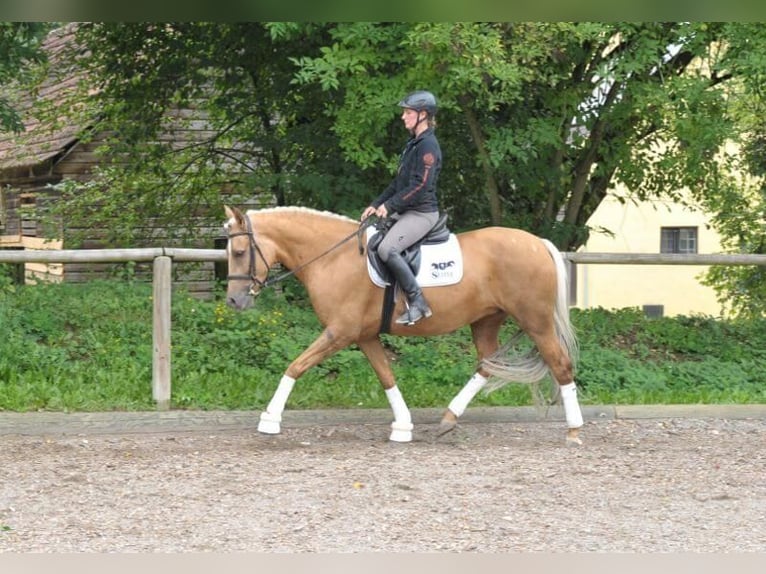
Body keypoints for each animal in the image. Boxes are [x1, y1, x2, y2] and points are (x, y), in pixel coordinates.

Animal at [225, 206, 584, 446]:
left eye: (240, 252)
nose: (233, 301)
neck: (333, 258)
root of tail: (538, 243)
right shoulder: (364, 336)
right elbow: (386, 376)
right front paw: (403, 426)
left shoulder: (340, 332)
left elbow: (295, 366)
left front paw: (270, 420)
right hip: (486, 320)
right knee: (487, 364)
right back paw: (448, 419)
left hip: (536, 321)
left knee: (561, 365)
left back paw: (574, 431)